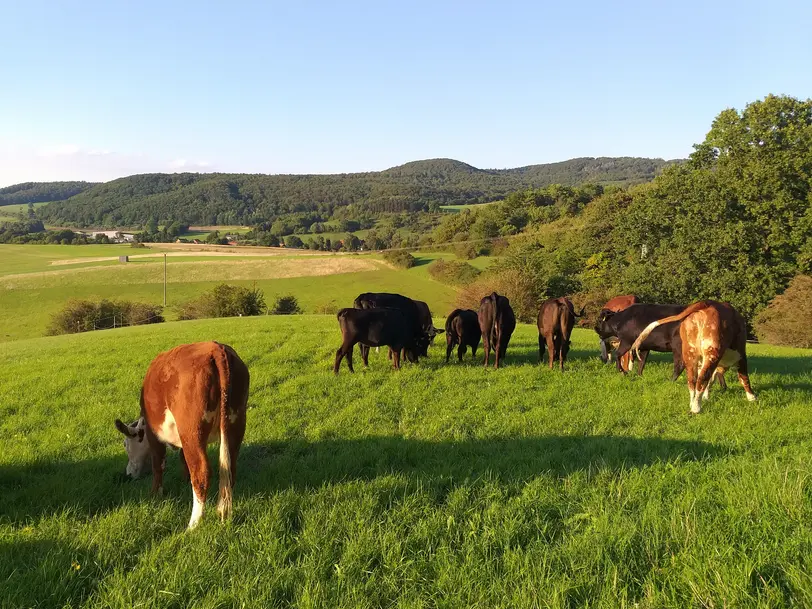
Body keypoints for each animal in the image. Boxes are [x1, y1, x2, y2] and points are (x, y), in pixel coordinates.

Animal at [113, 342, 247, 528]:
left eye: (125, 445)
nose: (128, 474)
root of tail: (216, 348)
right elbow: (183, 458)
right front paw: (184, 479)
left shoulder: (154, 436)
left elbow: (158, 465)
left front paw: (155, 494)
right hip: (235, 427)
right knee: (229, 470)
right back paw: (224, 514)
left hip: (191, 431)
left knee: (201, 472)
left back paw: (193, 525)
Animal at [632, 300, 760, 414]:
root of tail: (708, 303)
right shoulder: (741, 357)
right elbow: (744, 378)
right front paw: (752, 397)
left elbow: (711, 380)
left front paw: (706, 397)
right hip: (712, 352)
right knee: (702, 379)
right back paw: (696, 408)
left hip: (690, 353)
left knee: (692, 380)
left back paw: (692, 403)